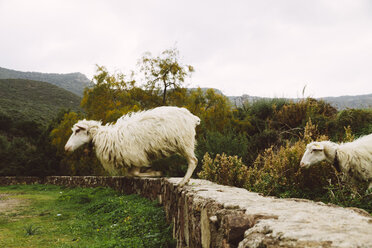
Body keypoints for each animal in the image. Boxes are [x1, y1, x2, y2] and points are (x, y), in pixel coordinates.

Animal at [64, 106, 201, 186]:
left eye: (77, 131)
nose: (66, 148)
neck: (105, 137)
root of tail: (192, 117)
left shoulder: (137, 156)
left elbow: (135, 173)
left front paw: (156, 173)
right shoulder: (132, 159)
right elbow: (130, 174)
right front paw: (155, 172)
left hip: (184, 142)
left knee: (193, 161)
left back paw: (183, 181)